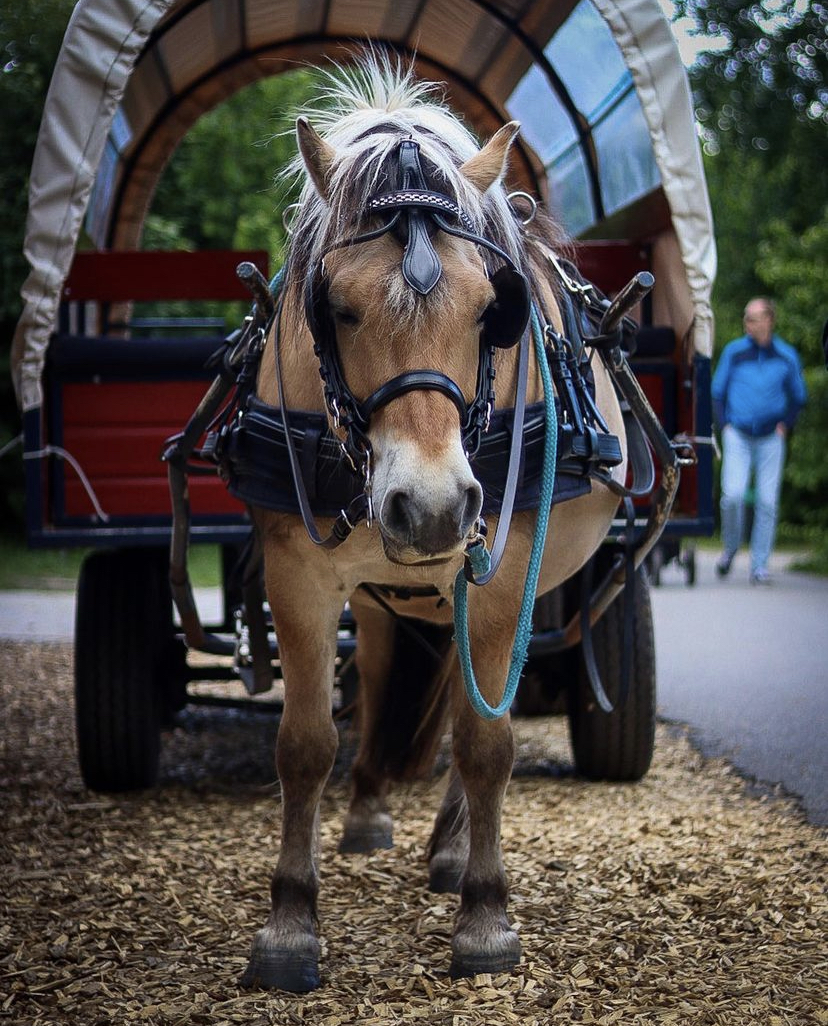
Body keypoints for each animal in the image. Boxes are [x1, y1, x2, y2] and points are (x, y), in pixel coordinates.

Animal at [238, 55, 628, 991]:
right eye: (336, 307)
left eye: (494, 308)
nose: (436, 506)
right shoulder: (296, 573)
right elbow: (304, 744)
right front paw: (289, 923)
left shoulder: (501, 570)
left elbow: (486, 741)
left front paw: (484, 914)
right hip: (387, 592)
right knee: (388, 678)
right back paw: (372, 815)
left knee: (467, 703)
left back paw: (452, 852)